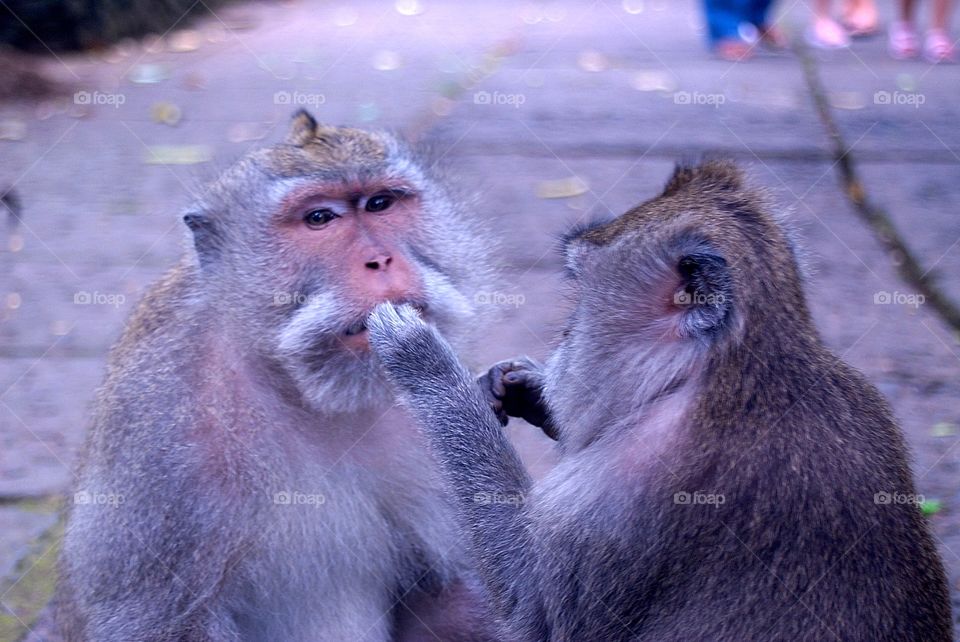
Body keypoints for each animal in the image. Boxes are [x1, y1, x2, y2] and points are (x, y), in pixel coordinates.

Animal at [53, 110, 498, 640]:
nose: (381, 260)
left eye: (380, 203)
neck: (294, 385)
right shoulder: (161, 437)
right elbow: (159, 620)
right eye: (319, 218)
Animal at [368, 160, 952, 640]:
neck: (736, 375)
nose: (564, 340)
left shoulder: (614, 495)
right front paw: (519, 385)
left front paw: (425, 362)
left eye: (580, 292)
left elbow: (536, 613)